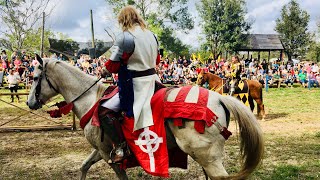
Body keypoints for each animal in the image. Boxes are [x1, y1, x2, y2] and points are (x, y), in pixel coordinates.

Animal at [26, 57, 262, 179]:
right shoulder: (102, 148)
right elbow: (84, 166)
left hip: (207, 156)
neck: (91, 98)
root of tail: (220, 98)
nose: (29, 103)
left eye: (36, 78)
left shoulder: (108, 153)